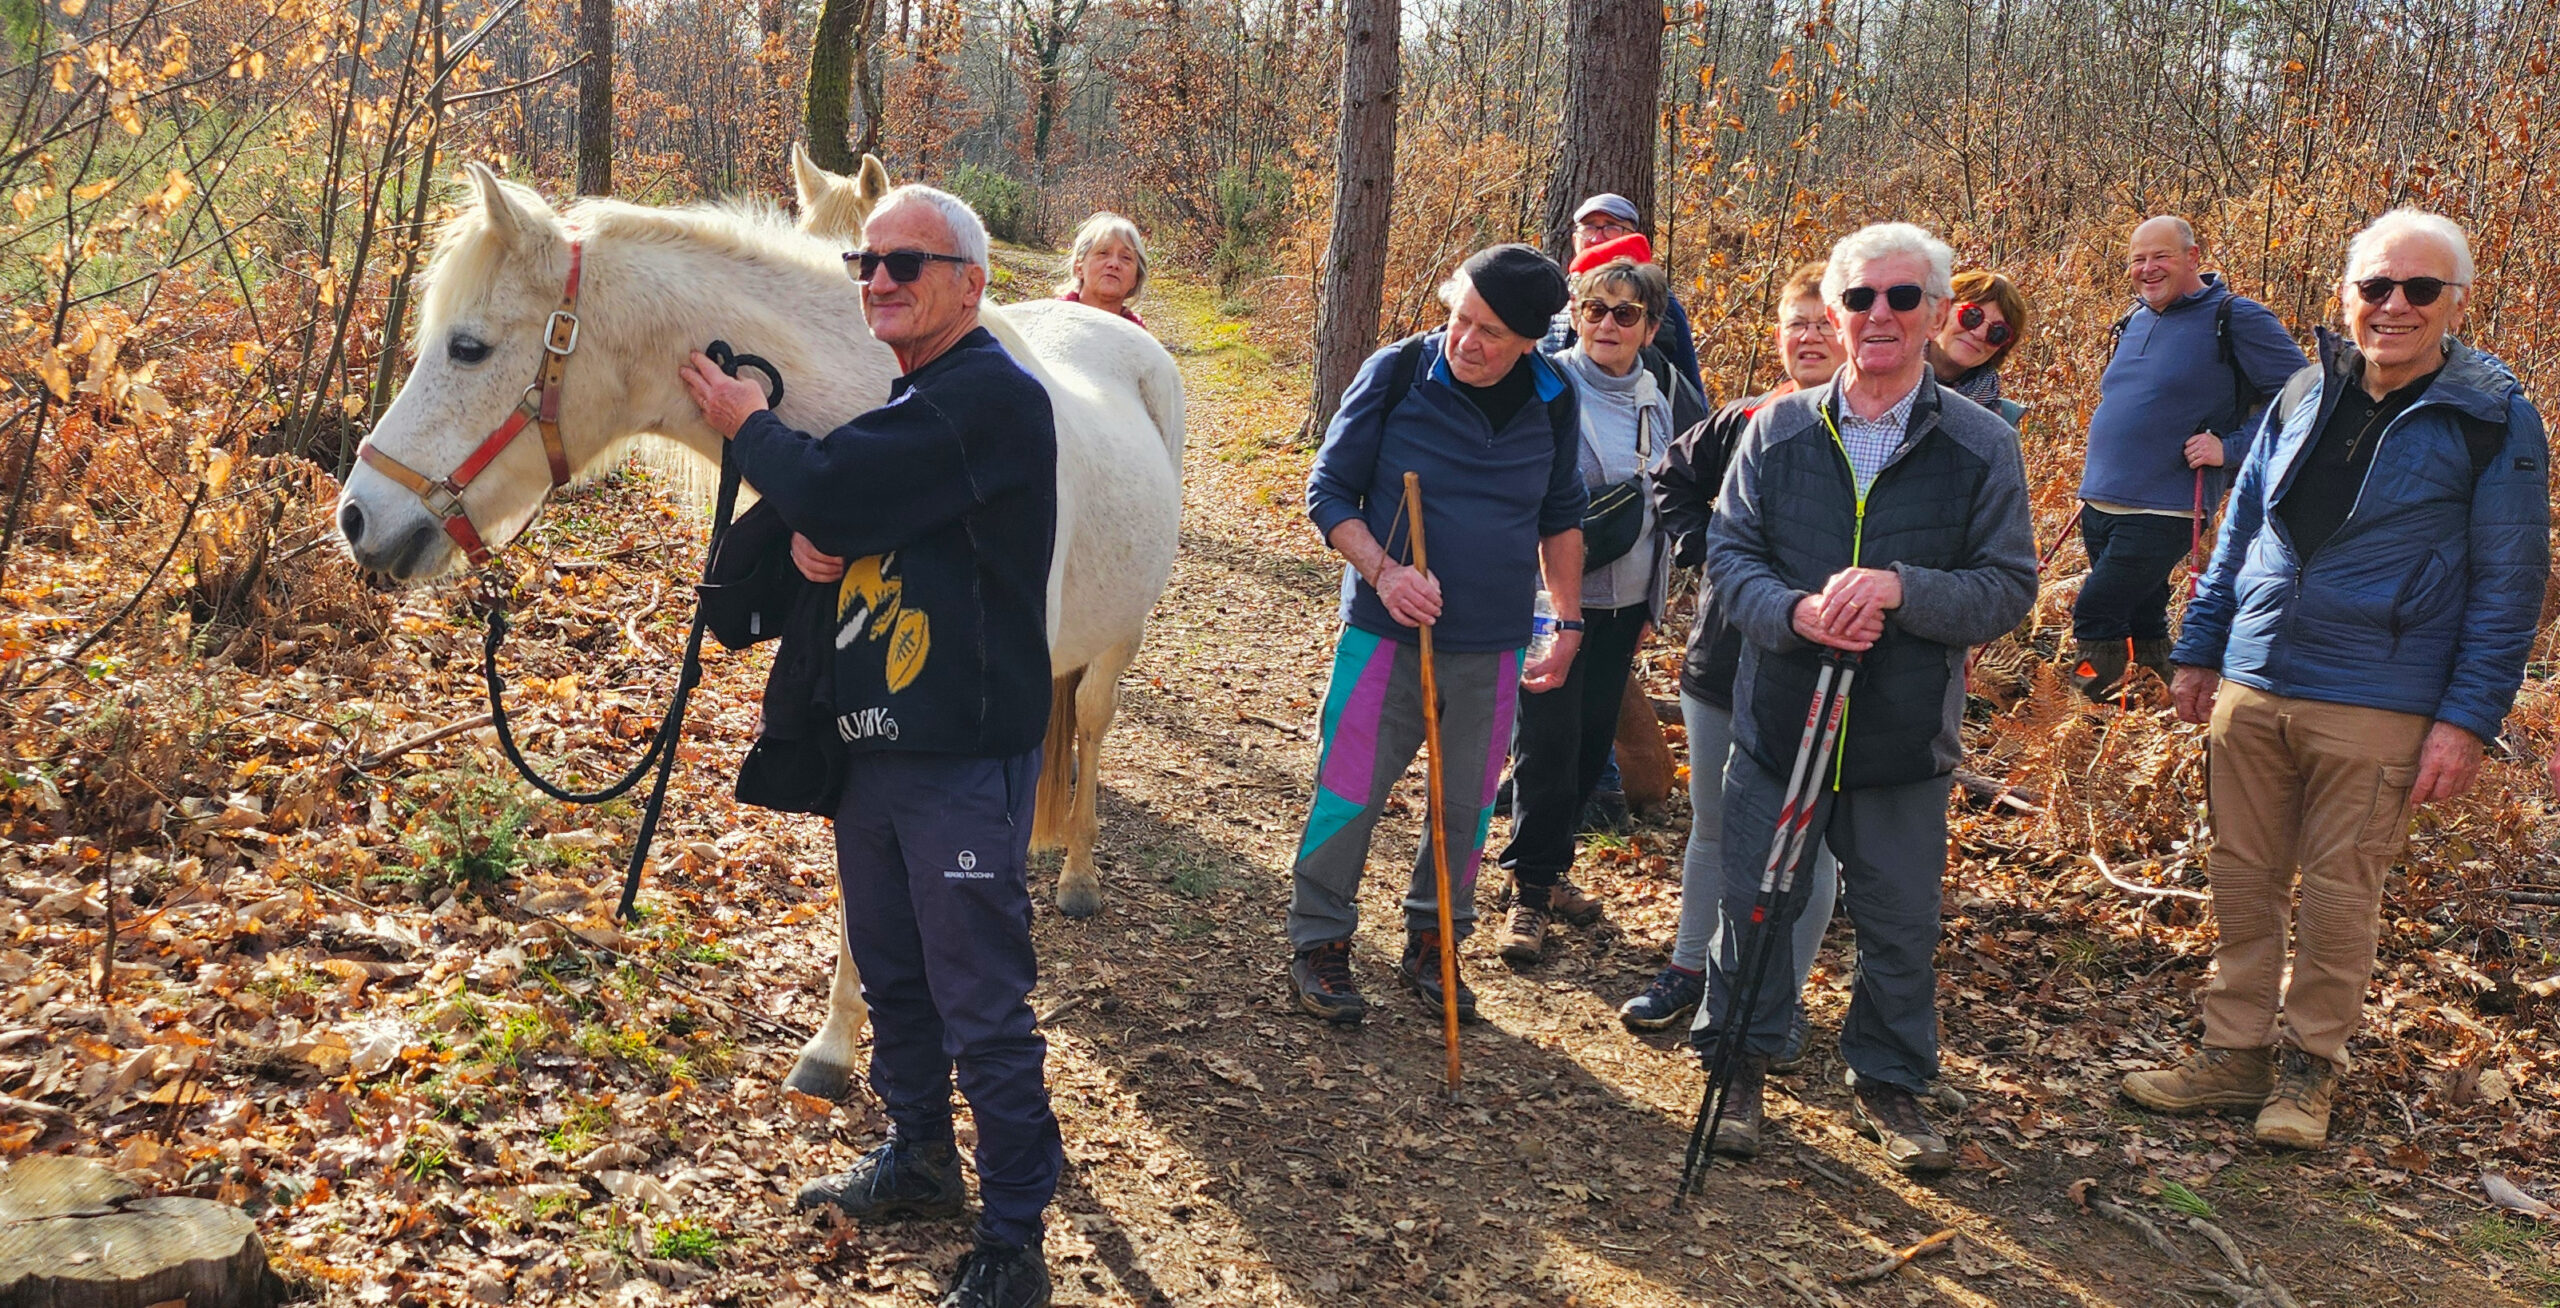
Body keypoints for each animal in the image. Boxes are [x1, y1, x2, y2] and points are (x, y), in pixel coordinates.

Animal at [336, 163, 1184, 1099]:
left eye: (469, 348)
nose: (357, 516)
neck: (874, 411)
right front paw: (845, 1035)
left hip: (1122, 642)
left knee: (1092, 728)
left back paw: (1077, 873)